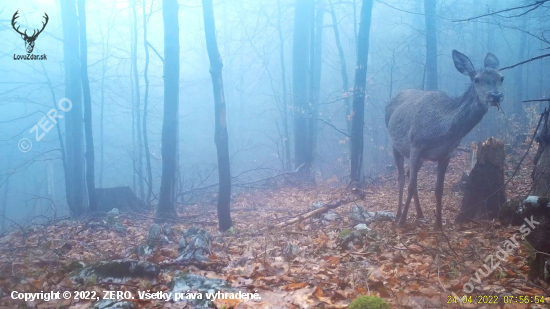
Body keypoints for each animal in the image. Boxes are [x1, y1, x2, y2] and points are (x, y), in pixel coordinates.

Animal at [386, 50, 506, 229]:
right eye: (476, 79)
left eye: (501, 77)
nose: (496, 95)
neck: (441, 132)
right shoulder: (415, 145)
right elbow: (411, 185)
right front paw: (402, 222)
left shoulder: (446, 153)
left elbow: (438, 188)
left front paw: (438, 225)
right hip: (395, 144)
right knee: (401, 179)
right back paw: (398, 215)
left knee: (408, 175)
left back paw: (420, 214)